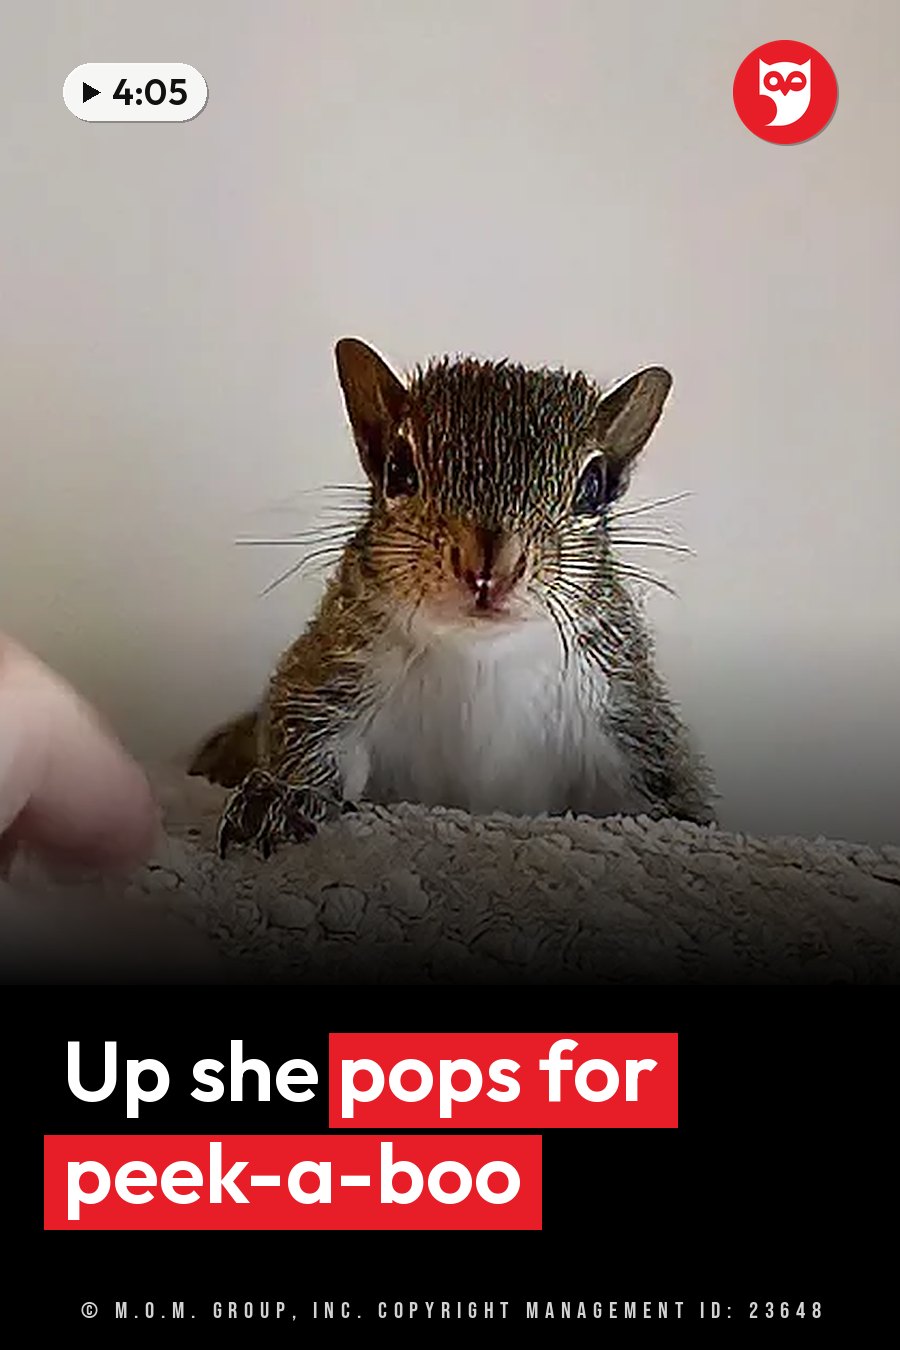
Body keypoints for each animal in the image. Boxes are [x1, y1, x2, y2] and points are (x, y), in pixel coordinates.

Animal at [189, 338, 715, 856]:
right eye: (398, 468)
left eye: (593, 486)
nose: (490, 570)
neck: (480, 655)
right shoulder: (337, 675)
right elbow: (305, 736)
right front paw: (282, 799)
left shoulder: (626, 718)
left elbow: (665, 793)